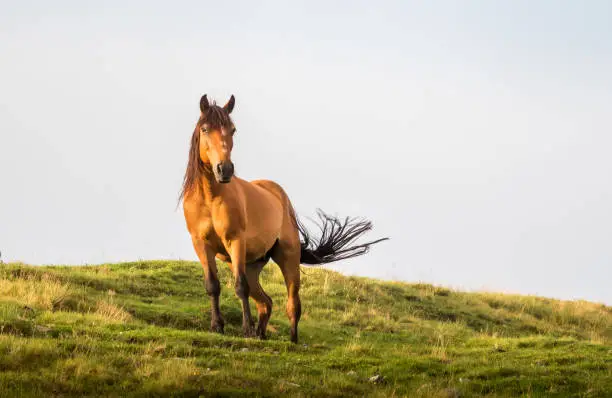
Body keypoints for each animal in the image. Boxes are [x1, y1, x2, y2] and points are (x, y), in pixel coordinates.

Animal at [179, 93, 388, 342]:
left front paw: (246, 330)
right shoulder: (200, 244)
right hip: (252, 264)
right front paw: (217, 326)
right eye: (205, 129)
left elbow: (240, 287)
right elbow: (212, 285)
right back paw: (260, 334)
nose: (225, 170)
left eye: (233, 129)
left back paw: (291, 340)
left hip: (287, 257)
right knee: (265, 302)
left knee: (292, 304)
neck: (210, 198)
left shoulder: (235, 240)